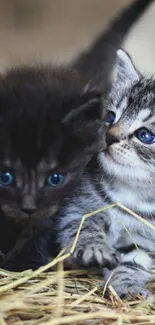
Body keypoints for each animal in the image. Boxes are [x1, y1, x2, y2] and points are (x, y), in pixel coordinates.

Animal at [56, 49, 155, 298]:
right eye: (110, 117)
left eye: (145, 135)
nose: (109, 136)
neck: (132, 193)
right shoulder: (74, 207)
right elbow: (82, 225)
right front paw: (94, 248)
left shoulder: (143, 238)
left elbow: (134, 260)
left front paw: (129, 285)